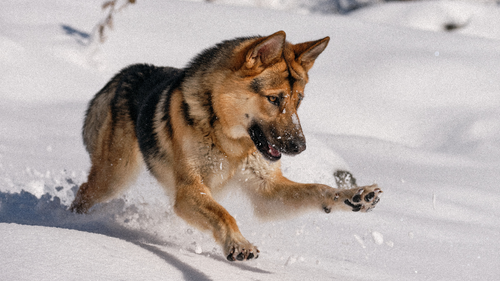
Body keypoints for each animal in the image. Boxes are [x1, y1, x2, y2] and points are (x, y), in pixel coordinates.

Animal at [70, 30, 380, 260]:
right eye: (274, 99)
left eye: (298, 100)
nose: (299, 147)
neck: (229, 141)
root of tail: (126, 73)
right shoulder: (189, 191)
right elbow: (224, 214)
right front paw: (238, 244)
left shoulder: (267, 191)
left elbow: (319, 189)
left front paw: (356, 195)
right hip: (115, 177)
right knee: (83, 192)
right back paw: (73, 223)